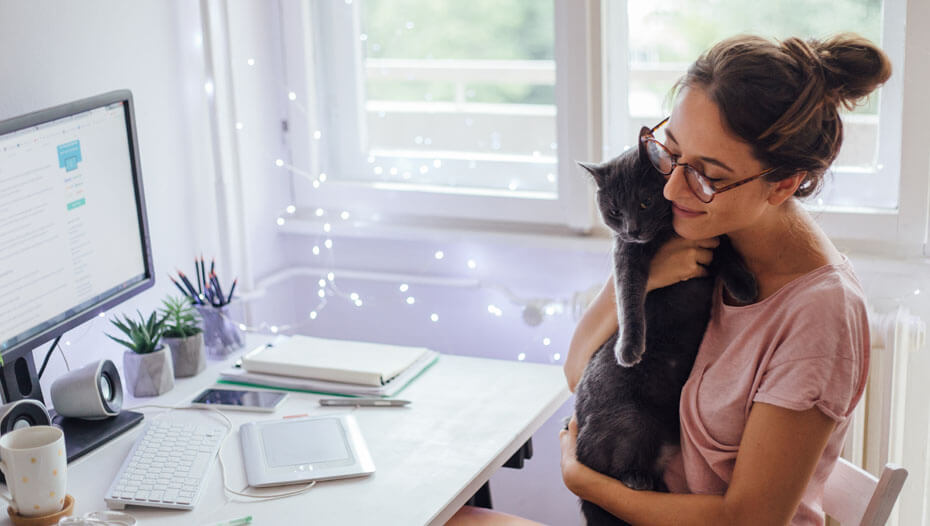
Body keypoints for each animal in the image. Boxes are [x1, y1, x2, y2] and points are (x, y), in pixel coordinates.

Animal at [568, 129, 756, 526]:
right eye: (615, 210)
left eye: (645, 202)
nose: (633, 229)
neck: (667, 234)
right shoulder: (626, 254)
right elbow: (628, 297)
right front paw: (629, 349)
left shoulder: (711, 240)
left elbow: (728, 253)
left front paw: (745, 286)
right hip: (632, 420)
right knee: (610, 473)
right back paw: (637, 479)